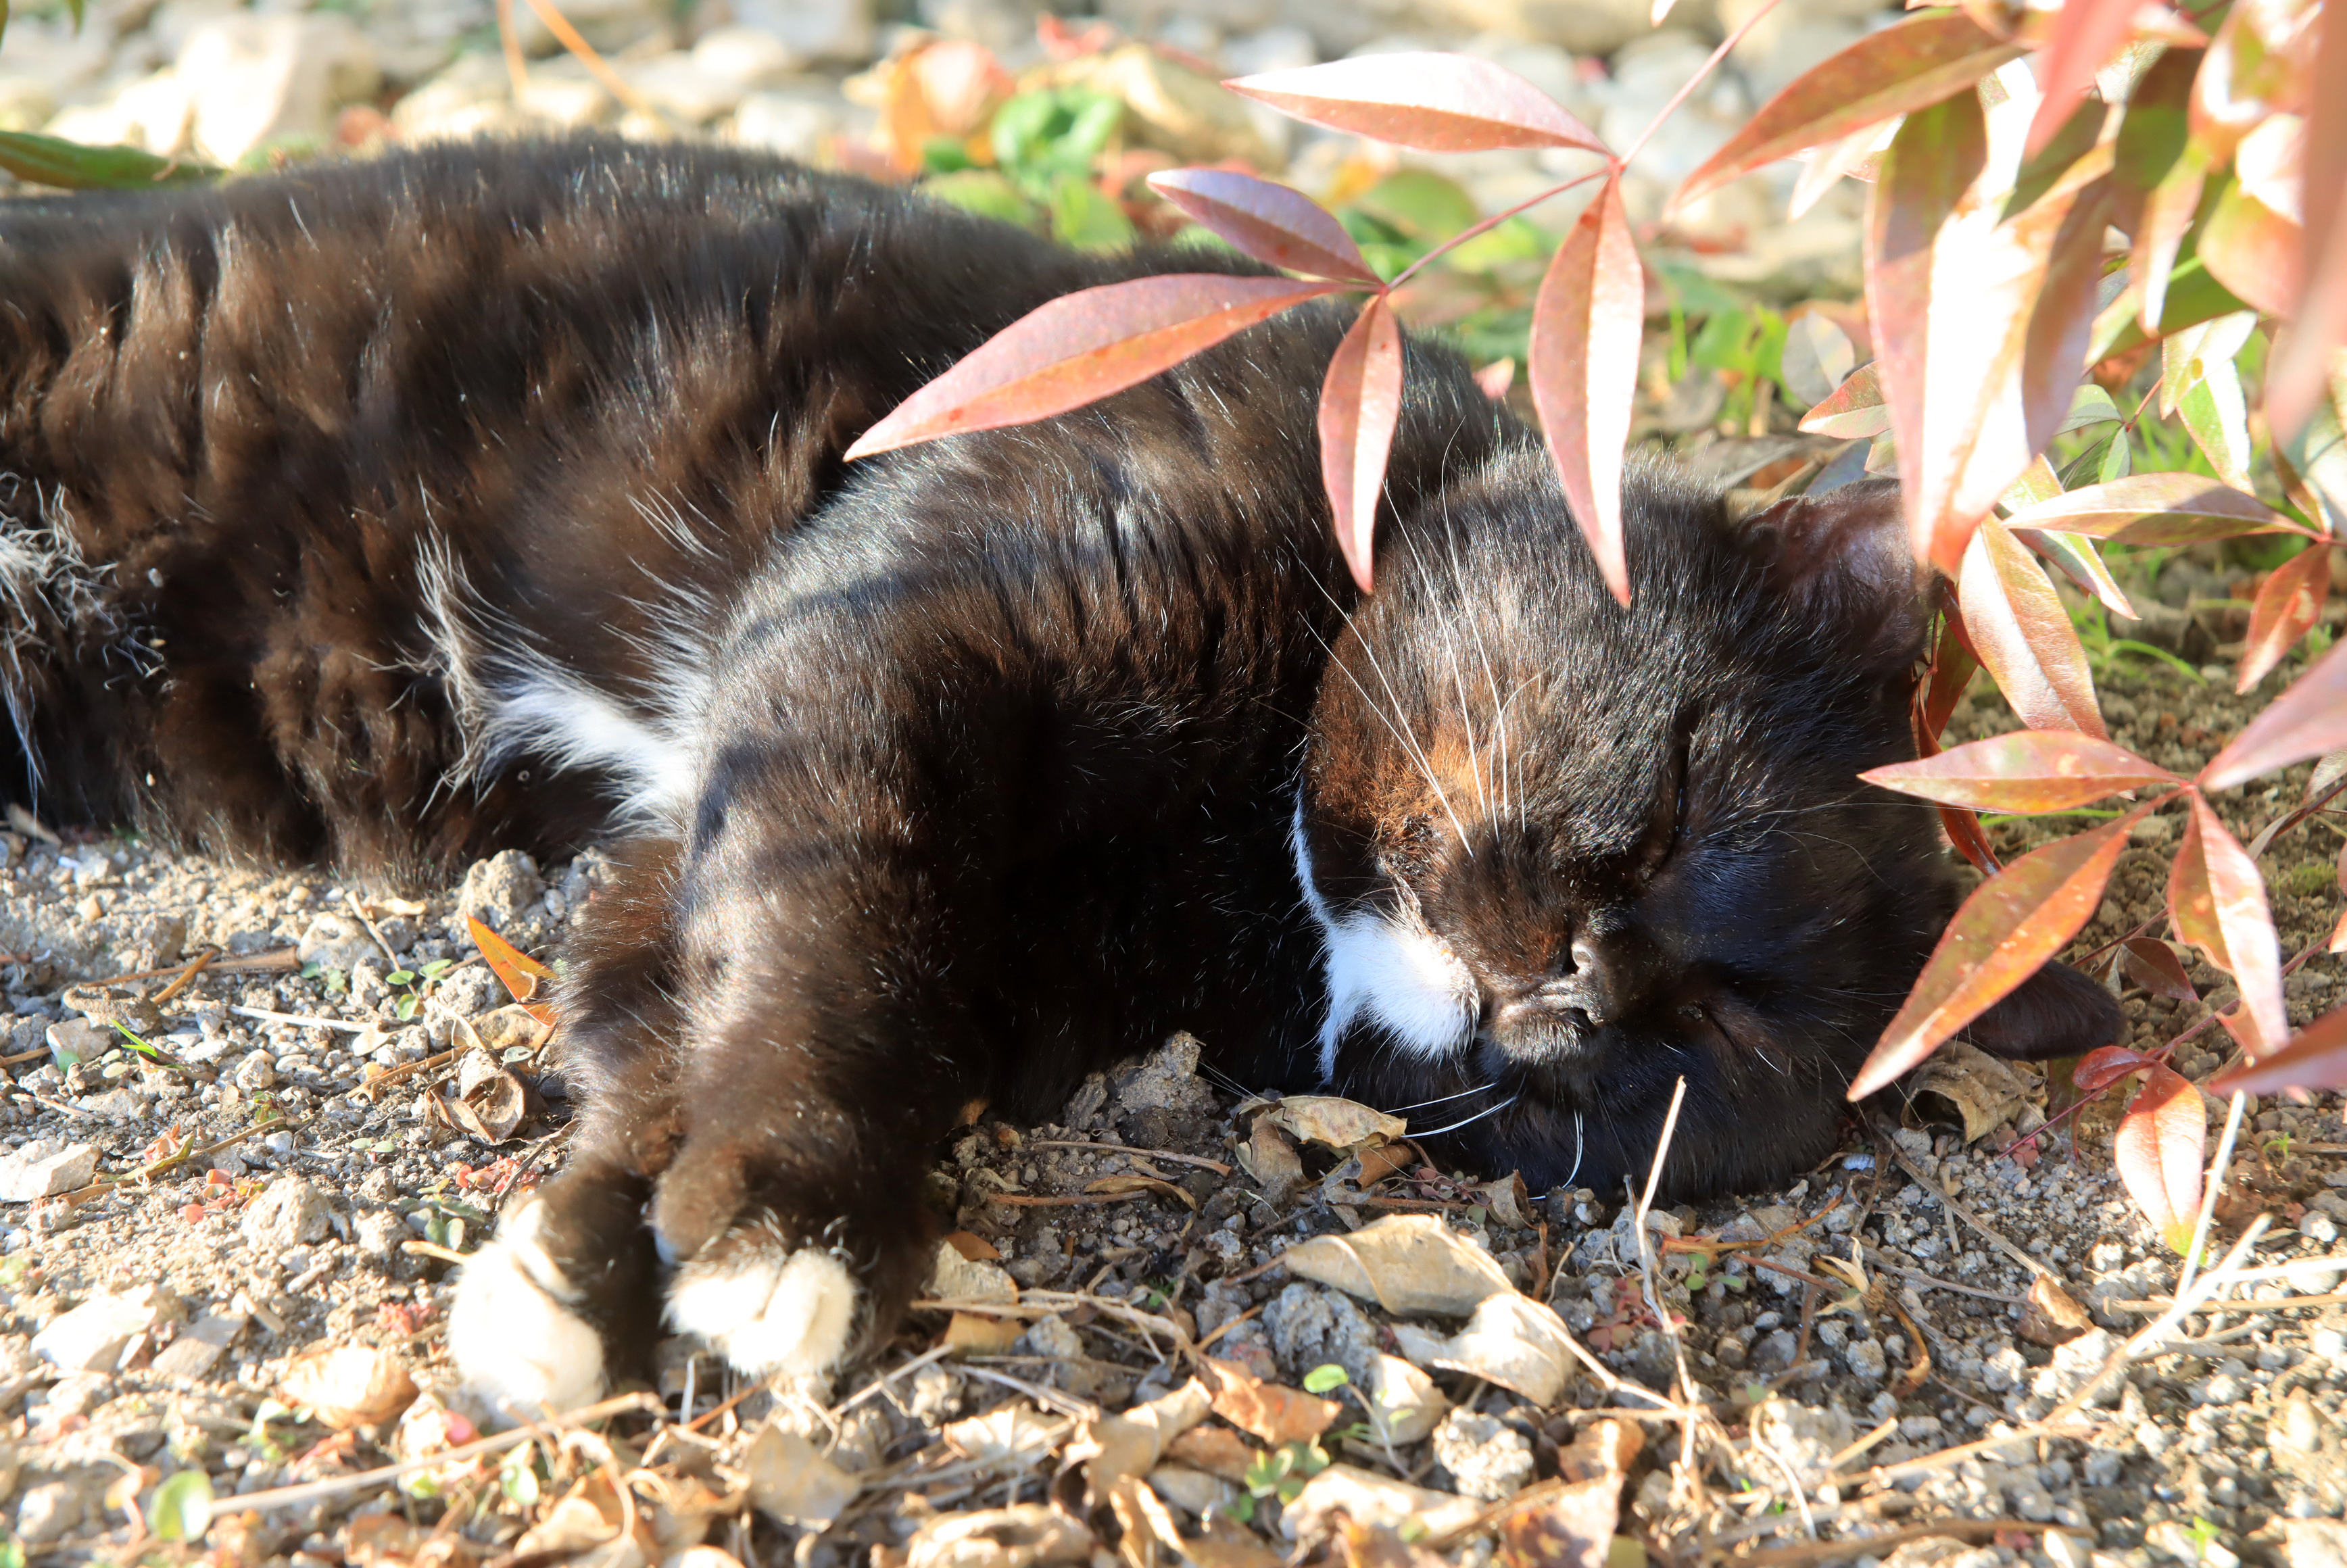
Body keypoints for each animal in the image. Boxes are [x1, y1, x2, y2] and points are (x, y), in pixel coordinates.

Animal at [0, 137, 2119, 1419]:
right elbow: (842, 949)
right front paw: (782, 1230)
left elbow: (681, 1017)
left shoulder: (705, 841)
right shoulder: (879, 632)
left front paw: (603, 1266)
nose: (1580, 983)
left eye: (1713, 1050)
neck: (1241, 863)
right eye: (1672, 801)